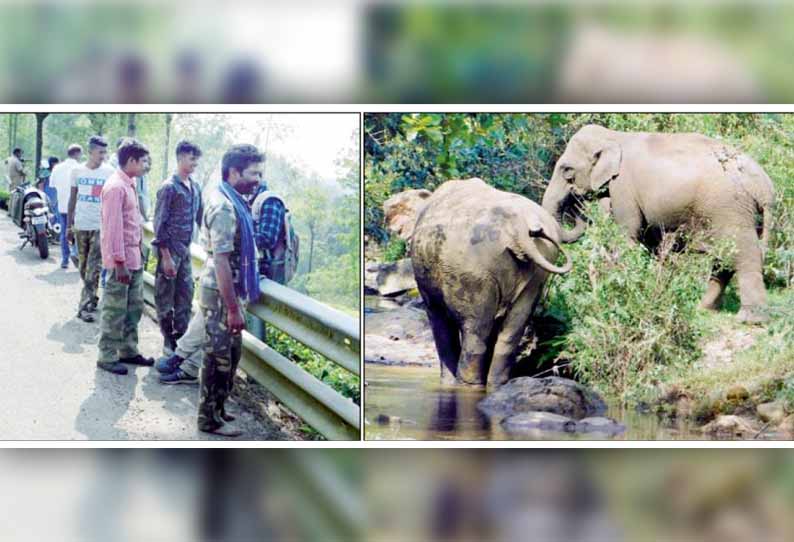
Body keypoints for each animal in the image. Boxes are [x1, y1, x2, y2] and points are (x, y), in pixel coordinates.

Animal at [408, 181, 568, 388]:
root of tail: (518, 226)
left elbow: (439, 319)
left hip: (473, 269)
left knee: (475, 330)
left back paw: (467, 385)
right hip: (538, 268)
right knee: (513, 326)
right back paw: (496, 384)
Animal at [540, 125, 772, 326]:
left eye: (567, 170)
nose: (577, 202)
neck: (614, 136)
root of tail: (764, 186)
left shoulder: (623, 187)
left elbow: (628, 235)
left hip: (731, 209)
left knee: (743, 254)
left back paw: (750, 319)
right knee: (724, 260)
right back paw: (704, 309)